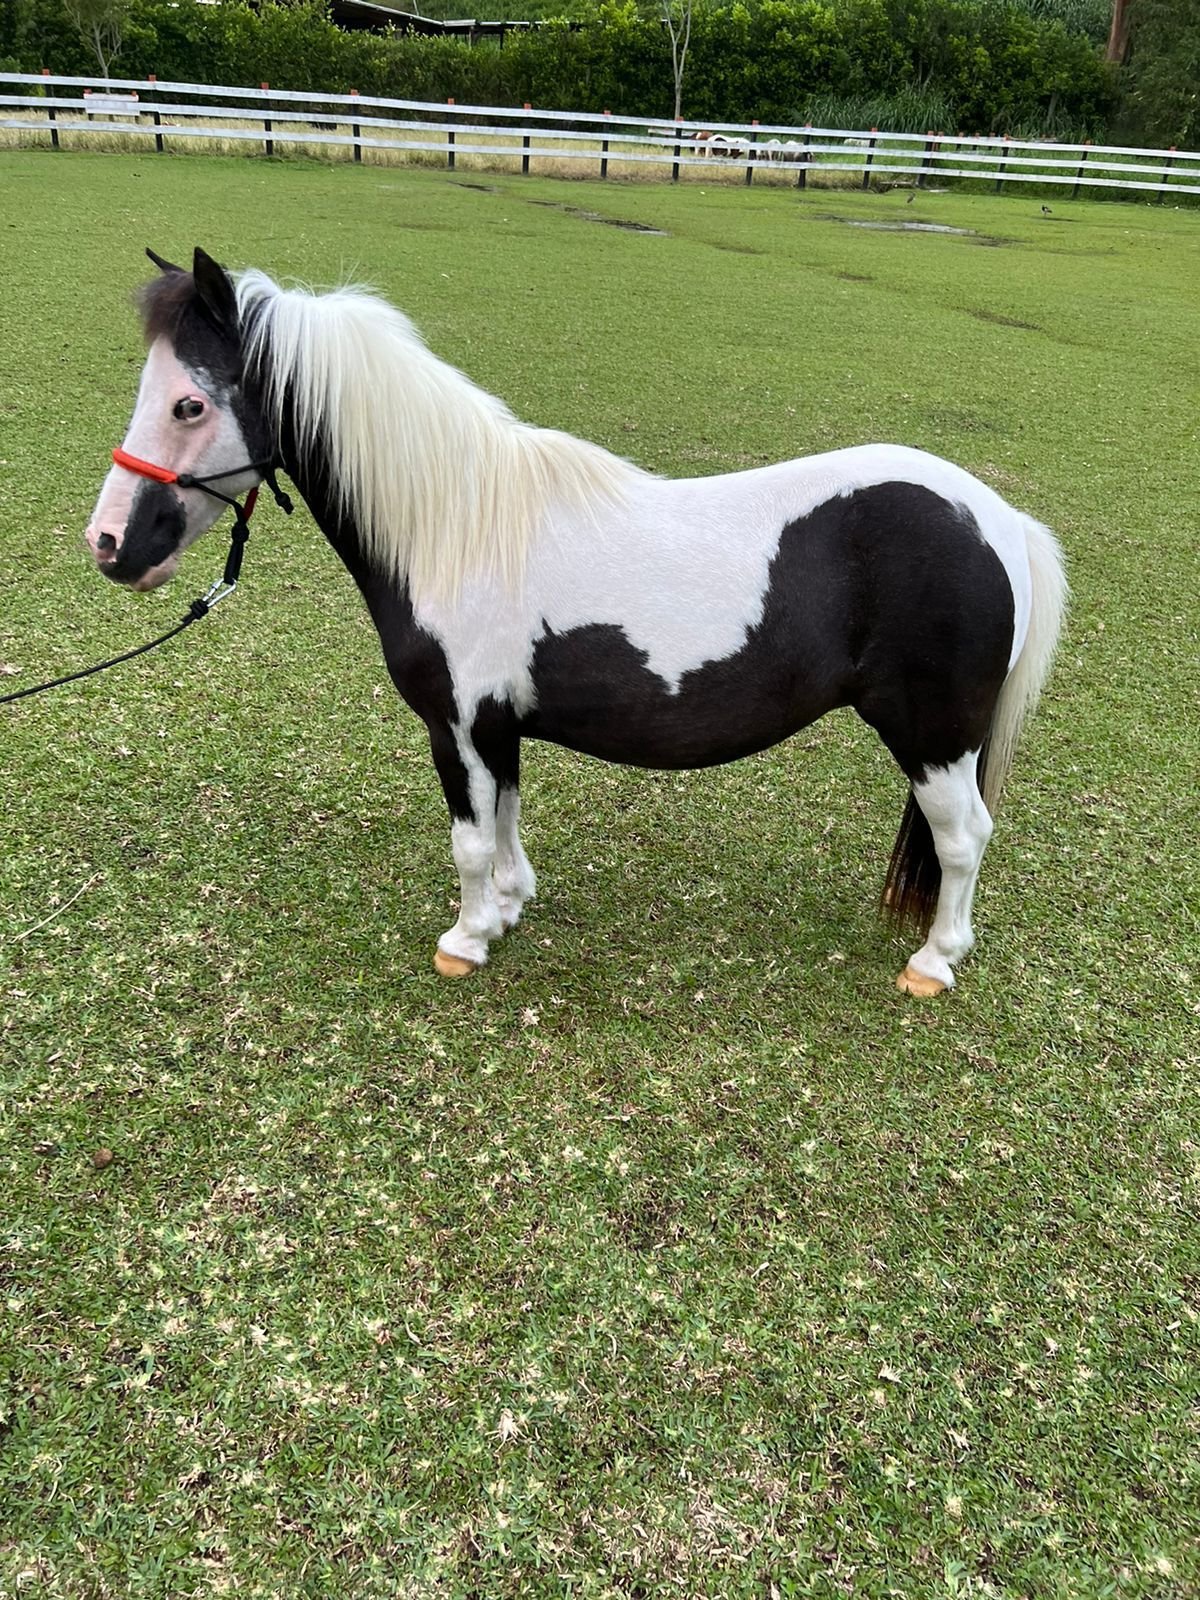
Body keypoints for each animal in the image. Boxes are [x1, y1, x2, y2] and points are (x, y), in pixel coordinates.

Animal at [85, 248, 1066, 994]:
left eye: (189, 403)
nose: (110, 545)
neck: (456, 525)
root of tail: (999, 518)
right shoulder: (499, 725)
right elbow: (507, 819)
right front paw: (510, 907)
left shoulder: (458, 725)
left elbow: (470, 837)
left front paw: (466, 940)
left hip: (933, 737)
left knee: (963, 836)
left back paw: (934, 963)